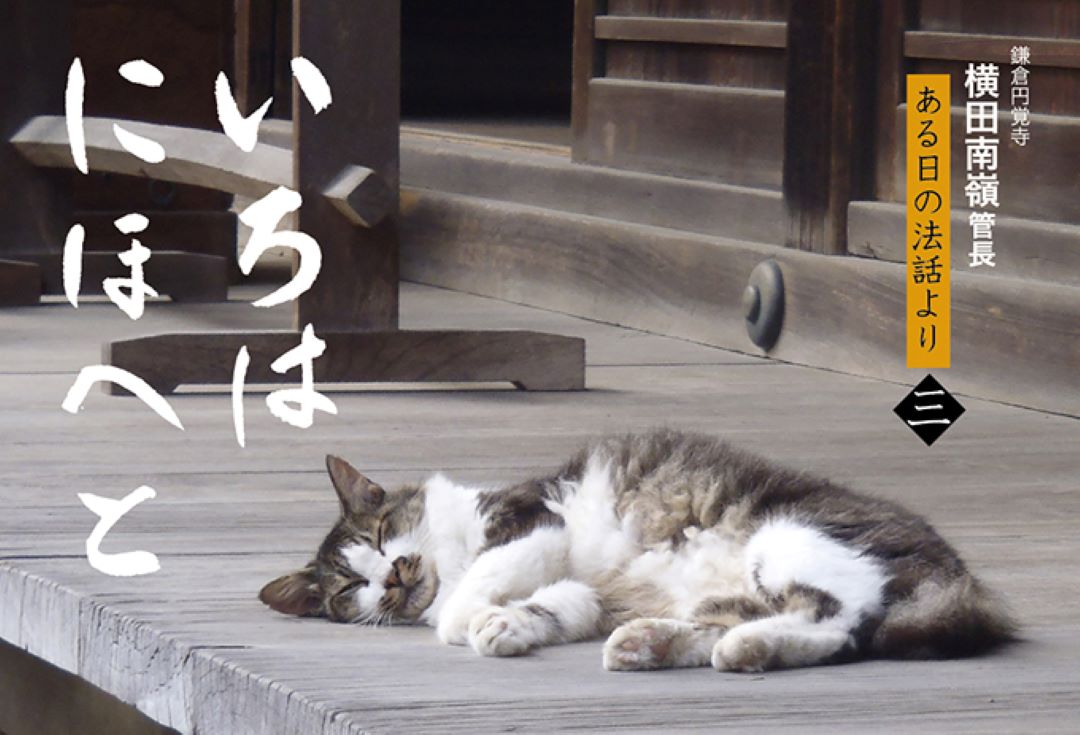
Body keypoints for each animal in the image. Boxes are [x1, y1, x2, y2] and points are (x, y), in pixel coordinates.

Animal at [259, 427, 1010, 673]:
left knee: (845, 621)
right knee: (742, 623)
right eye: (349, 587)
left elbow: (463, 603)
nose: (391, 576)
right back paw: (653, 643)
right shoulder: (582, 586)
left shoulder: (533, 520)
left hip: (788, 539)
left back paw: (743, 650)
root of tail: (961, 575)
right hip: (723, 589)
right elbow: (557, 603)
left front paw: (477, 617)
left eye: (381, 537)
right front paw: (512, 623)